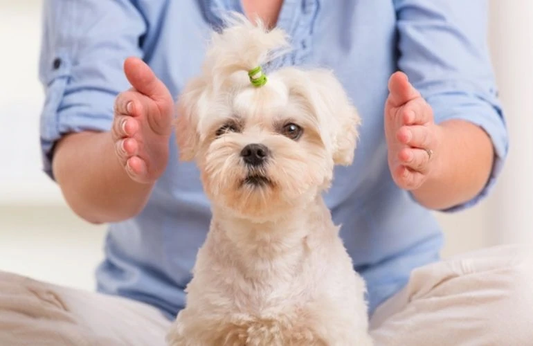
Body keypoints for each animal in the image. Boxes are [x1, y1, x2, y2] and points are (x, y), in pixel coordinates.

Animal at [168, 15, 372, 346]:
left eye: (291, 129)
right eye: (226, 129)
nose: (253, 149)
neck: (266, 246)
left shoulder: (332, 326)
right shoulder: (205, 326)